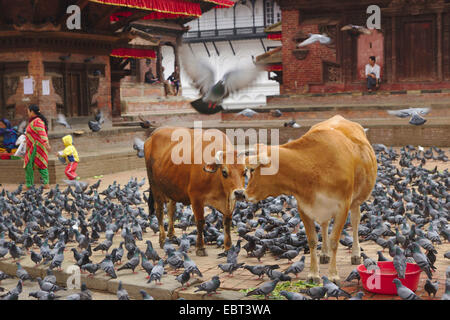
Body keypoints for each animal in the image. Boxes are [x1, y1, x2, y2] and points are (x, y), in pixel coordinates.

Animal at [144, 126, 246, 256]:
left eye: (245, 171)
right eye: (224, 172)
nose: (239, 193)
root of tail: (152, 135)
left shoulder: (230, 200)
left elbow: (227, 222)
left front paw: (228, 247)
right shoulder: (196, 198)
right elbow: (200, 222)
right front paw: (200, 247)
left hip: (171, 188)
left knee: (171, 210)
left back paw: (171, 236)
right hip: (155, 186)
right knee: (160, 212)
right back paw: (162, 239)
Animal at [244, 116, 378, 284]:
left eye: (252, 170)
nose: (243, 194)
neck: (313, 167)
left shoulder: (343, 207)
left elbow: (334, 240)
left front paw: (333, 275)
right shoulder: (304, 207)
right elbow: (313, 240)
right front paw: (313, 274)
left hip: (356, 202)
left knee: (355, 223)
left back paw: (355, 253)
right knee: (325, 225)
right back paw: (325, 254)